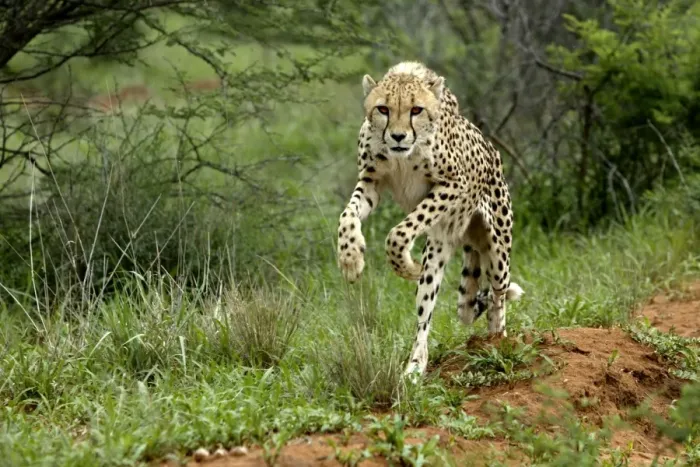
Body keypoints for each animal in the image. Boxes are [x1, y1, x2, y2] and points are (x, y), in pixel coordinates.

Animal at [336, 61, 524, 377]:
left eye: (416, 110)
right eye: (383, 109)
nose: (398, 136)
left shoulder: (454, 184)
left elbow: (399, 232)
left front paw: (406, 265)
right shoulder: (371, 181)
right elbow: (346, 215)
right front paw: (351, 259)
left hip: (497, 252)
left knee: (497, 297)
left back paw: (498, 341)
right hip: (439, 252)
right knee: (426, 314)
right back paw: (415, 366)